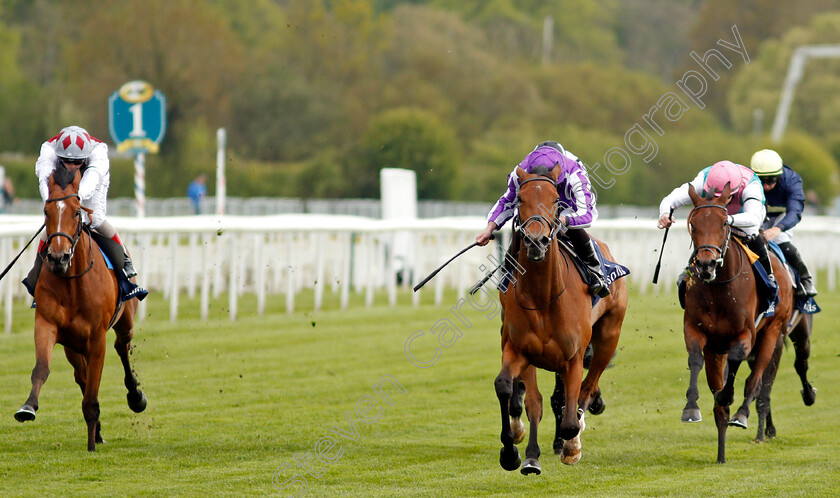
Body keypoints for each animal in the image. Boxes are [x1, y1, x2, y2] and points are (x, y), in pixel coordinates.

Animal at [13, 166, 146, 452]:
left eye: (76, 212)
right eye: (46, 211)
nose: (58, 257)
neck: (72, 282)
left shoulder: (97, 339)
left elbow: (93, 391)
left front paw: (91, 445)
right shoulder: (47, 324)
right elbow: (42, 369)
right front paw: (28, 407)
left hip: (125, 322)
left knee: (121, 347)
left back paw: (135, 396)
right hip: (73, 347)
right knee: (81, 376)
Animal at [492, 165, 632, 472]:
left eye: (556, 200)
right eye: (520, 200)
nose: (535, 241)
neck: (543, 297)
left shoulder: (573, 356)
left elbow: (569, 412)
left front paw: (570, 446)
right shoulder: (519, 348)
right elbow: (511, 389)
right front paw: (513, 452)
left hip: (609, 336)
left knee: (586, 389)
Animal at [680, 183, 792, 462]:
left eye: (723, 223)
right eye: (693, 224)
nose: (706, 264)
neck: (719, 288)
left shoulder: (744, 334)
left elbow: (737, 361)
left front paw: (728, 396)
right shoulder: (696, 330)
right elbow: (695, 359)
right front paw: (691, 407)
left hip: (773, 332)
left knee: (757, 379)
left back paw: (742, 414)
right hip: (717, 350)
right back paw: (721, 452)